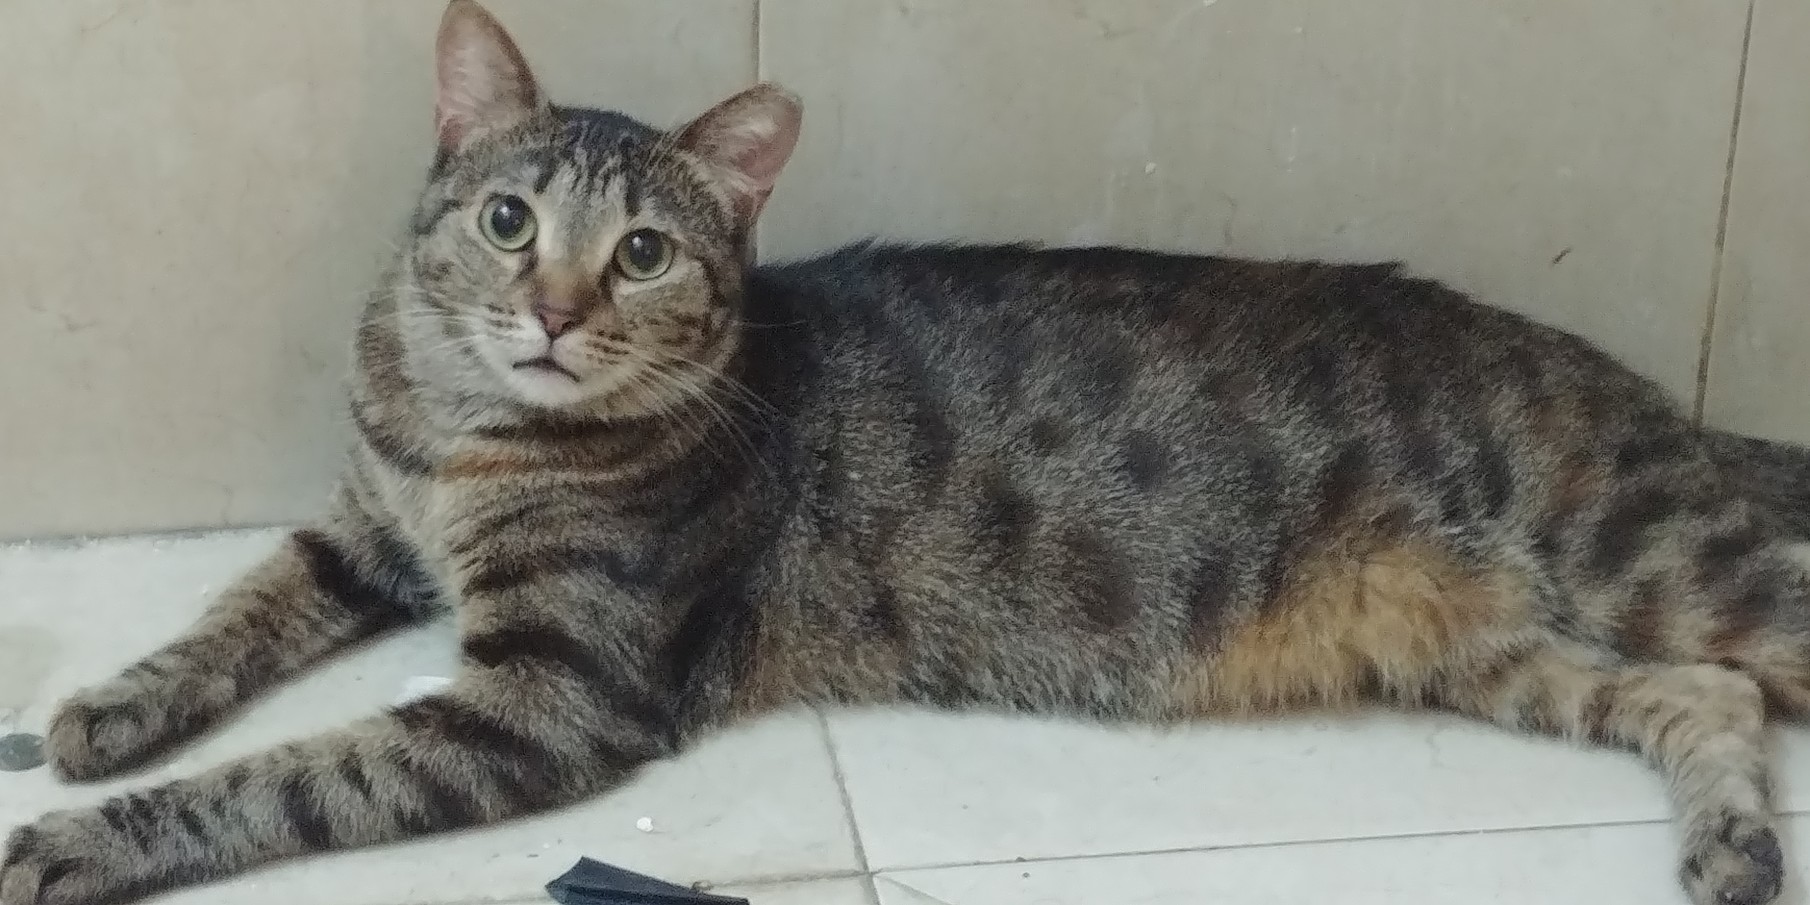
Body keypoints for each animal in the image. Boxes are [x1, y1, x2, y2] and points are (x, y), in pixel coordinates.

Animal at [4, 2, 1807, 904]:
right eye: (509, 219)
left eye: (643, 253)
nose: (556, 312)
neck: (464, 434)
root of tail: (1650, 398)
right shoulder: (360, 529)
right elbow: (231, 614)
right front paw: (104, 711)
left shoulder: (552, 692)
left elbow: (293, 775)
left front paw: (79, 841)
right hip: (1501, 647)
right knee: (1702, 702)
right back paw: (1729, 848)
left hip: (1663, 559)